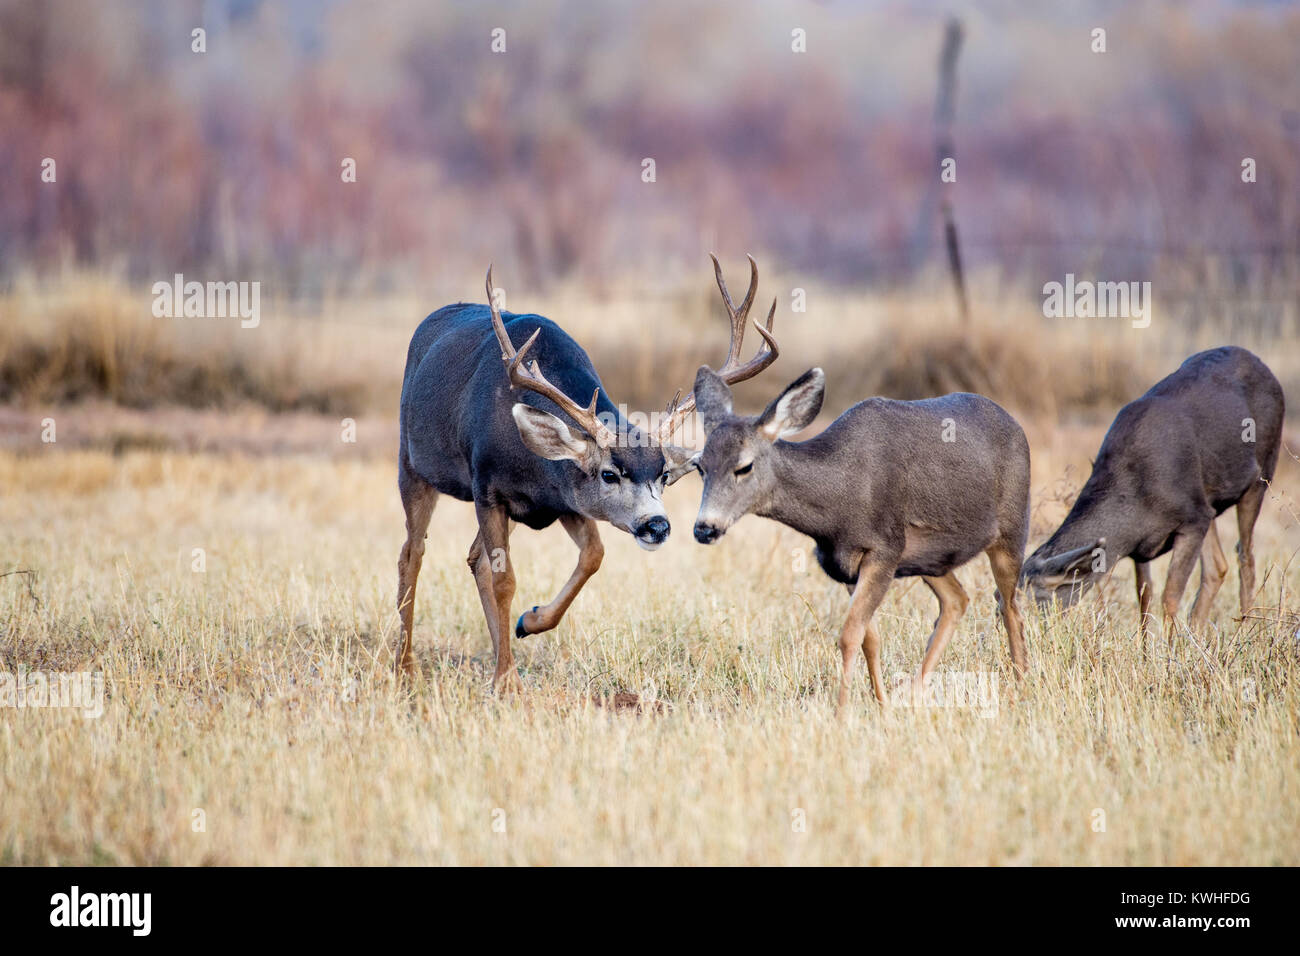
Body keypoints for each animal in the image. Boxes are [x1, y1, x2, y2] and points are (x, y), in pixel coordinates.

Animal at [392, 257, 780, 686]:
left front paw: (530, 622)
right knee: (412, 553)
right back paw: (405, 666)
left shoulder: (564, 499)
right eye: (610, 474)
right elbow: (504, 580)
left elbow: (593, 554)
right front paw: (506, 682)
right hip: (411, 463)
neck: (534, 466)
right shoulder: (487, 488)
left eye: (663, 474)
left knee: (474, 559)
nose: (657, 525)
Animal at [686, 366, 1029, 712]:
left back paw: (1022, 685)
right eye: (699, 466)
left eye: (744, 467)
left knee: (1010, 607)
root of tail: (1013, 422)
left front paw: (841, 712)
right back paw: (913, 690)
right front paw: (882, 705)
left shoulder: (884, 549)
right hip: (930, 558)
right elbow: (869, 638)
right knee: (957, 599)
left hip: (1012, 528)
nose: (705, 528)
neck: (839, 502)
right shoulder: (846, 564)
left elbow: (849, 635)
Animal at [1019, 343, 1284, 642]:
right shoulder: (1145, 543)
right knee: (1218, 566)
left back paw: (1248, 628)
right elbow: (1144, 596)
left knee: (1245, 555)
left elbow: (1170, 595)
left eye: (1037, 598)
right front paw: (1146, 648)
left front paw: (1170, 648)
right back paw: (1197, 633)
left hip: (1261, 474)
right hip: (1209, 503)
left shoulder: (1192, 520)